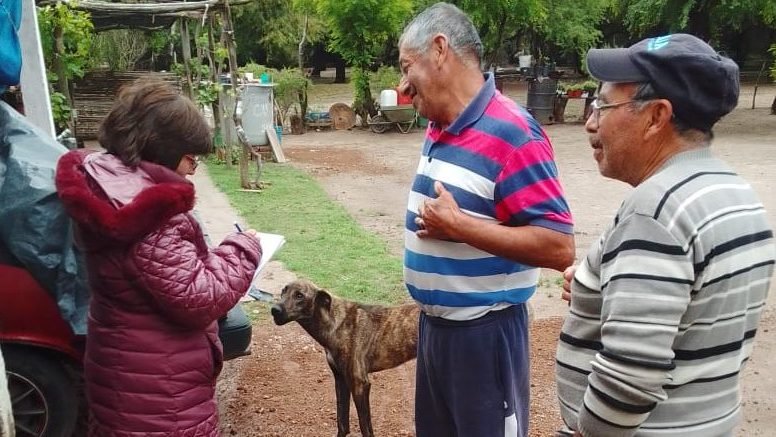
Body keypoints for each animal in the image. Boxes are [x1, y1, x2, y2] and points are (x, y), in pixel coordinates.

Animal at [272, 280, 418, 436]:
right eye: (283, 291)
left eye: (299, 295)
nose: (274, 310)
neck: (335, 323)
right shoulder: (341, 379)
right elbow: (343, 422)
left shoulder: (359, 384)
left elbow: (364, 427)